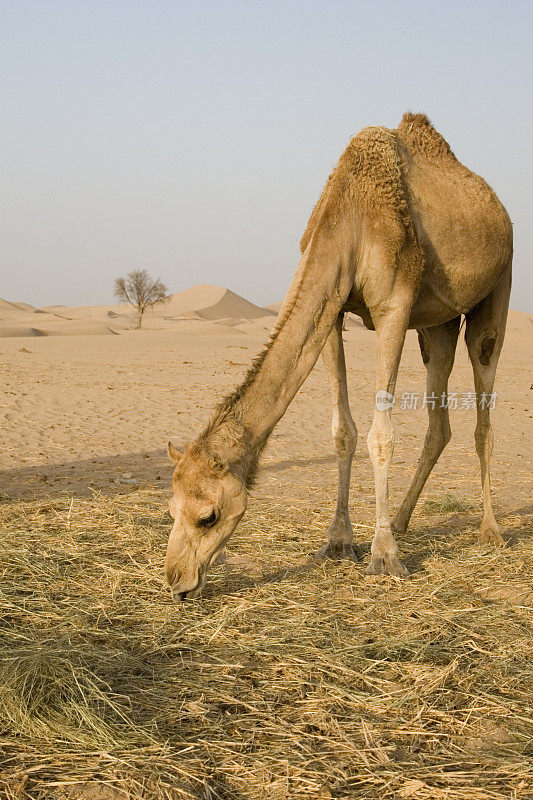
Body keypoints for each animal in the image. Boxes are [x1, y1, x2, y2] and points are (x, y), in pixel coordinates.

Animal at [165, 112, 512, 600]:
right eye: (170, 509)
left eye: (207, 516)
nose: (176, 582)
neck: (350, 216)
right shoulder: (333, 311)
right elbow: (342, 431)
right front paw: (338, 542)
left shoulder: (393, 306)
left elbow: (381, 435)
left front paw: (384, 557)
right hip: (436, 324)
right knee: (439, 413)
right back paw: (401, 520)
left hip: (498, 286)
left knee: (484, 405)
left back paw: (490, 531)